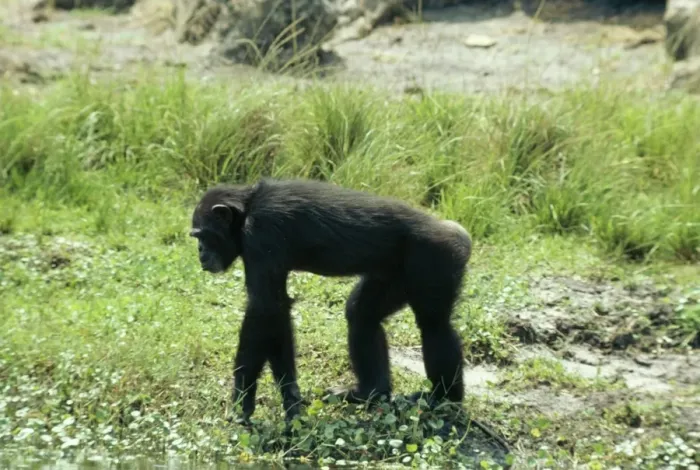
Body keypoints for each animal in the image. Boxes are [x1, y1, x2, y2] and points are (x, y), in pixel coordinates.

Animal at [190, 178, 472, 423]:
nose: (200, 252)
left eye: (201, 235)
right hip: (395, 275)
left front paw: (242, 402)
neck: (247, 210)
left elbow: (263, 310)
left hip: (436, 258)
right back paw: (369, 392)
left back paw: (443, 398)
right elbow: (276, 315)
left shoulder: (260, 234)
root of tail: (457, 232)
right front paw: (290, 399)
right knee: (362, 314)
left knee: (434, 326)